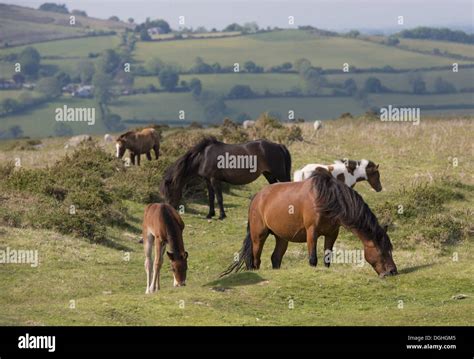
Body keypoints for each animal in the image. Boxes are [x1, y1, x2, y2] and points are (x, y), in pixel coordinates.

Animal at [161, 135, 290, 219]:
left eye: (169, 191)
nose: (169, 211)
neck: (203, 157)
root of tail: (278, 145)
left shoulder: (214, 180)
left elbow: (219, 198)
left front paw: (222, 215)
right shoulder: (208, 180)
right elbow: (211, 197)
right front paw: (210, 214)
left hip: (280, 174)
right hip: (269, 174)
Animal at [222, 168, 396, 278]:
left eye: (390, 250)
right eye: (382, 251)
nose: (392, 271)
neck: (326, 198)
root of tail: (257, 197)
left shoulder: (332, 234)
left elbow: (327, 258)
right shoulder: (312, 232)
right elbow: (313, 259)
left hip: (281, 238)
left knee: (275, 258)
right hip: (259, 236)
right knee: (255, 259)